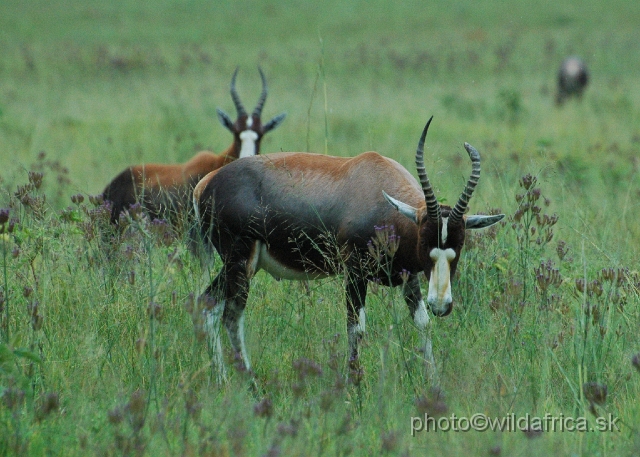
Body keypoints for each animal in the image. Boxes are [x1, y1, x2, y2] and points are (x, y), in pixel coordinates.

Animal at [192, 116, 502, 382]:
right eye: (425, 241)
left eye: (459, 244)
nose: (441, 304)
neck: (377, 187)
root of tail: (205, 184)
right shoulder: (354, 274)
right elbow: (356, 328)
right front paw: (355, 387)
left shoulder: (409, 278)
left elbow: (422, 323)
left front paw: (432, 383)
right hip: (240, 262)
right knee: (232, 316)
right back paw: (250, 384)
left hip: (240, 266)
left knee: (208, 304)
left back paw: (221, 380)